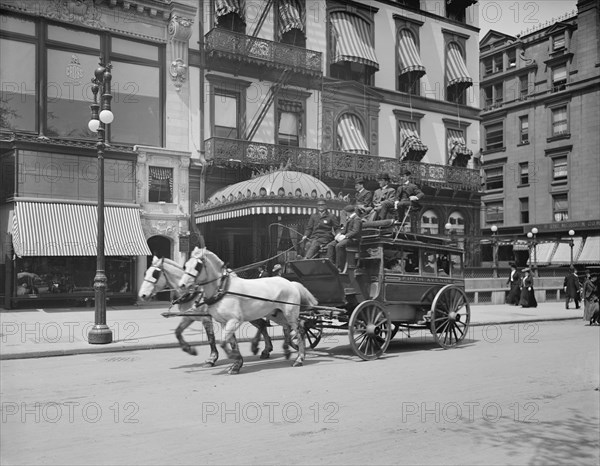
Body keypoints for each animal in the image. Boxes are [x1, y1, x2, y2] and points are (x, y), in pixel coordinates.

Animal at [137, 258, 274, 364]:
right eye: (145, 273)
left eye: (155, 274)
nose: (142, 295)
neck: (192, 293)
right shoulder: (189, 317)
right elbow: (177, 332)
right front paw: (189, 350)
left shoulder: (205, 318)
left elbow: (210, 338)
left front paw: (212, 358)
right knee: (262, 324)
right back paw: (266, 350)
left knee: (262, 324)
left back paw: (262, 348)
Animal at [178, 248, 318, 374]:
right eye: (186, 265)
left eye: (197, 265)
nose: (182, 285)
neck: (223, 289)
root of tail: (291, 283)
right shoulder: (225, 322)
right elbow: (231, 342)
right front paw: (236, 364)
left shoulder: (234, 321)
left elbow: (222, 342)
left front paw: (232, 358)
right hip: (276, 315)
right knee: (287, 328)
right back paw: (287, 350)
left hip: (290, 314)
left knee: (300, 331)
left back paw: (299, 358)